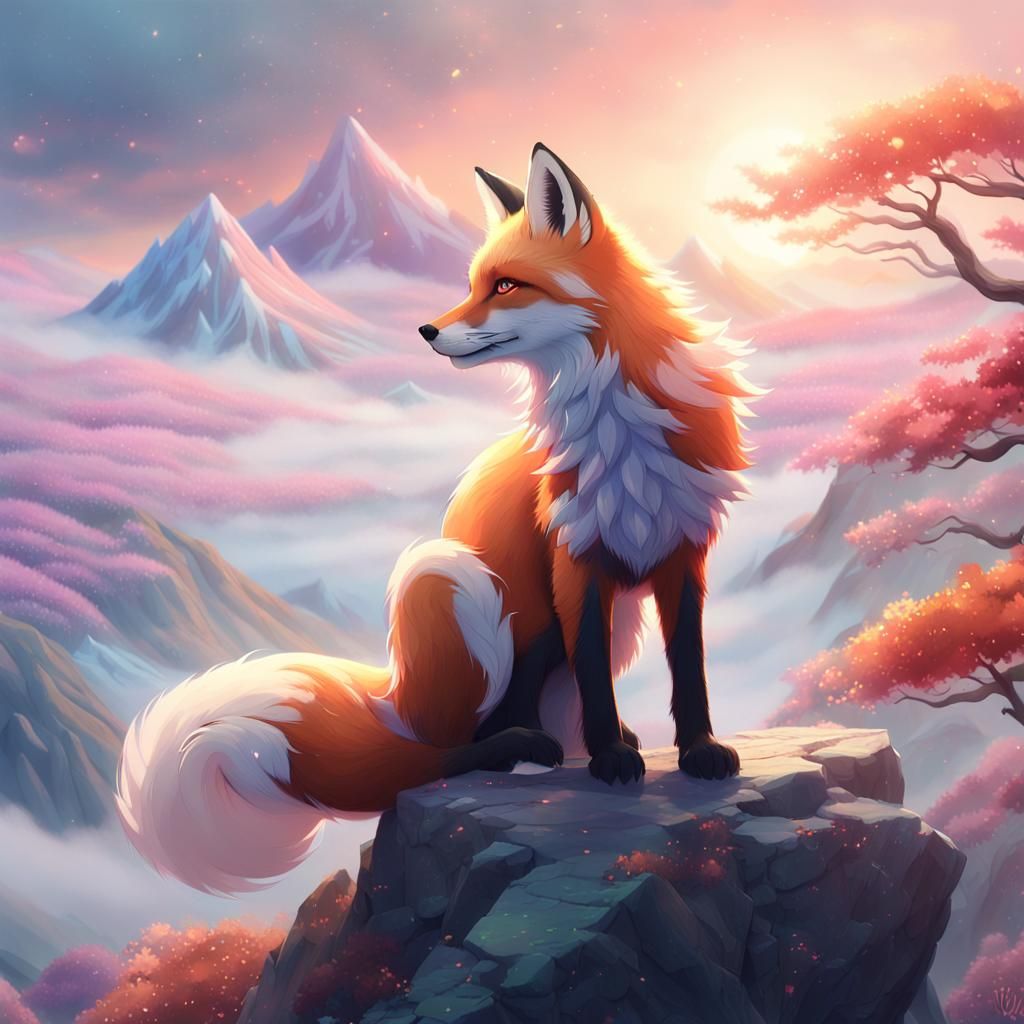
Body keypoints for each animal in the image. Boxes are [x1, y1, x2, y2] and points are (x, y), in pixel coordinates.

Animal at [116, 143, 758, 894]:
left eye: (505, 285)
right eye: (474, 283)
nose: (426, 330)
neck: (618, 420)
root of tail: (395, 700)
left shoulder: (683, 549)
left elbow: (689, 665)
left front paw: (699, 748)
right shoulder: (573, 557)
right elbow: (597, 679)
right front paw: (611, 760)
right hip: (454, 575)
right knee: (442, 753)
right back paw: (521, 746)